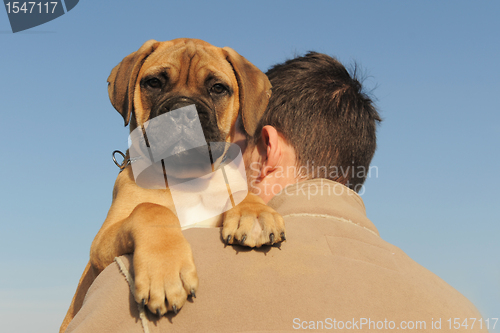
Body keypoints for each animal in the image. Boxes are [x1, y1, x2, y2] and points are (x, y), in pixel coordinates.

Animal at [60, 38, 286, 330]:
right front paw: (164, 273)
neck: (186, 180)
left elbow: (237, 191)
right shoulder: (101, 243)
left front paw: (255, 213)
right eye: (154, 83)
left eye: (217, 88)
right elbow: (150, 210)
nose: (182, 111)